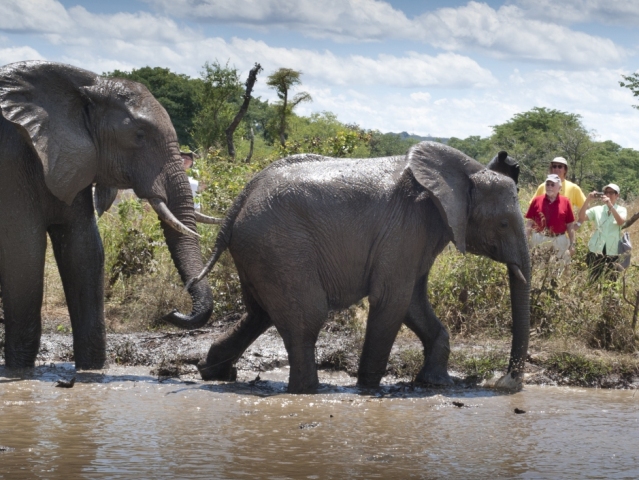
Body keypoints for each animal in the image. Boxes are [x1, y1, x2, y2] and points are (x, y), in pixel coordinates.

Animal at [0, 62, 215, 370]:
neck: (85, 87)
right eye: (139, 135)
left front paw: (91, 370)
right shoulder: (11, 162)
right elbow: (24, 253)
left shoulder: (75, 159)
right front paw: (19, 369)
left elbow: (84, 250)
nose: (172, 312)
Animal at [169, 142, 528, 394]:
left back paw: (214, 372)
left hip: (261, 250)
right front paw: (369, 388)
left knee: (259, 314)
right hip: (279, 246)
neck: (465, 172)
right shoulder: (406, 227)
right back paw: (307, 391)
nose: (504, 382)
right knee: (307, 316)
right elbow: (392, 300)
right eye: (503, 223)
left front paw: (437, 383)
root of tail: (241, 199)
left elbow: (413, 302)